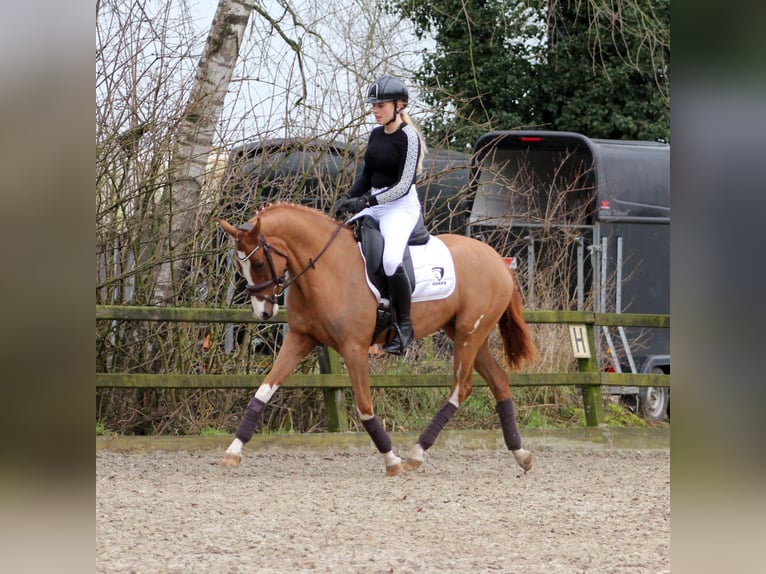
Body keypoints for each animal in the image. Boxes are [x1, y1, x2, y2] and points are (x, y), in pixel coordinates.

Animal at [218, 202, 540, 476]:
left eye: (259, 263)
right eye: (240, 265)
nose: (263, 312)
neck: (327, 267)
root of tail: (497, 259)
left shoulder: (354, 348)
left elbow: (364, 407)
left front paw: (391, 460)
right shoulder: (300, 339)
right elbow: (263, 391)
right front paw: (233, 451)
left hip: (468, 336)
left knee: (461, 388)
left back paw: (416, 453)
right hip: (468, 334)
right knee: (498, 381)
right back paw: (521, 454)